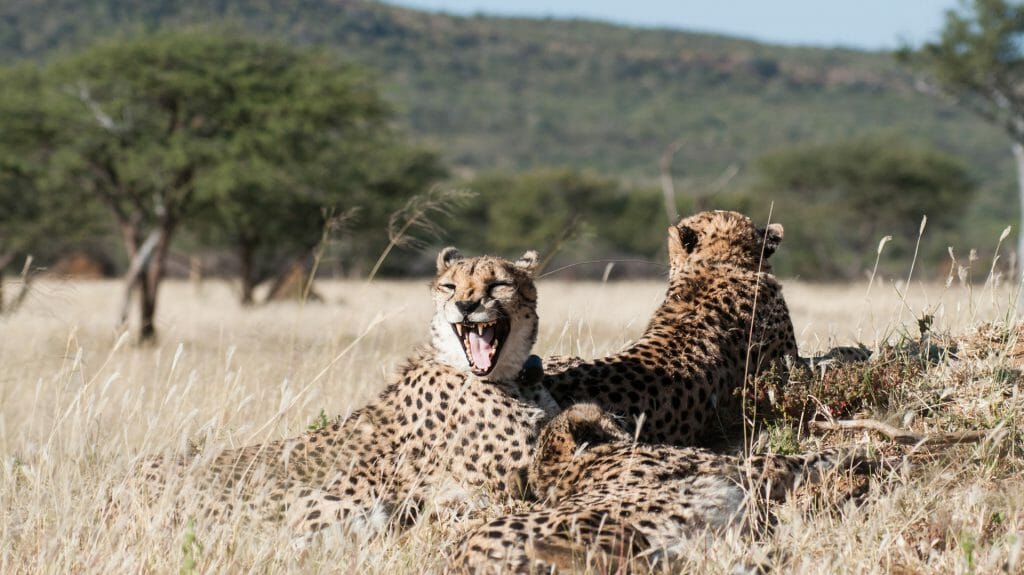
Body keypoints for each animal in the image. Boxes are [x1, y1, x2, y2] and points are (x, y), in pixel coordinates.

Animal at [121, 247, 560, 537]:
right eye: (450, 286)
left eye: (498, 283)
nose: (466, 306)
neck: (509, 377)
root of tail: (124, 481)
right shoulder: (516, 483)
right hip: (325, 502)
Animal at [448, 403, 876, 574]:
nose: (621, 415)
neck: (571, 468)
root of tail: (463, 557)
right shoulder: (744, 470)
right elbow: (808, 457)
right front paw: (874, 451)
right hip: (609, 531)